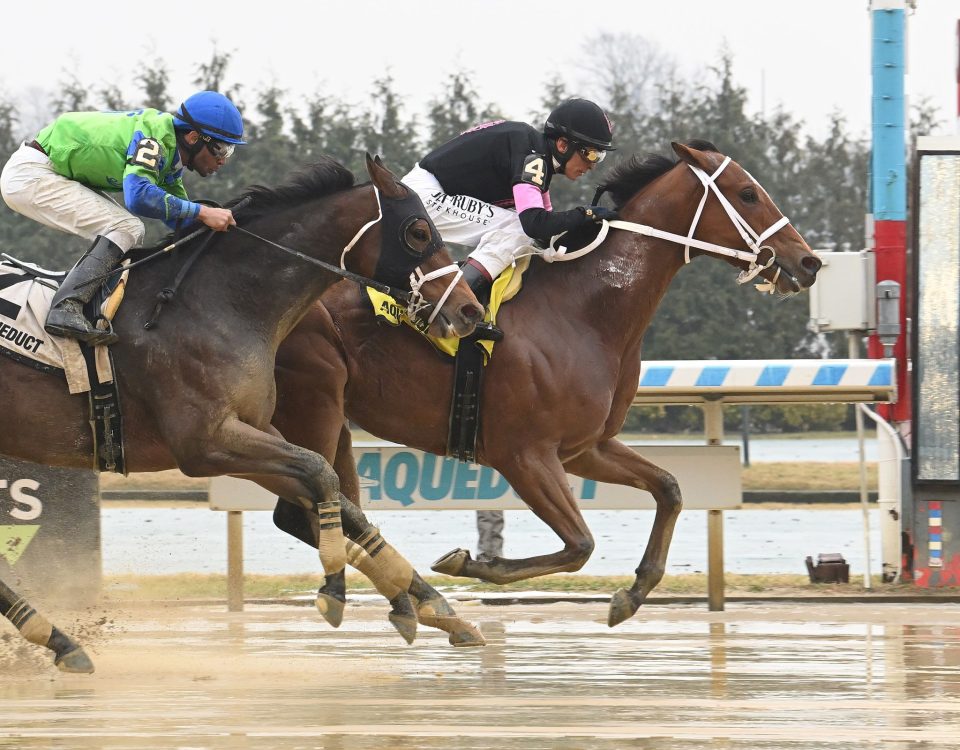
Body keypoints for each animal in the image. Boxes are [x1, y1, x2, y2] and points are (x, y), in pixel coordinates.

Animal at [0, 156, 488, 672]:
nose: (469, 310)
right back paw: (53, 636)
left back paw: (57, 638)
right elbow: (321, 476)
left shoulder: (251, 430)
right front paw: (336, 590)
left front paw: (429, 604)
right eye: (418, 232)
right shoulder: (205, 443)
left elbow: (331, 495)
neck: (214, 304)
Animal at [266, 141, 820, 628]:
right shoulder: (524, 454)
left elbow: (669, 488)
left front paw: (633, 592)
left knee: (327, 511)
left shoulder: (583, 448)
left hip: (332, 419)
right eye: (748, 193)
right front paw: (469, 563)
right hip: (315, 405)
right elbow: (580, 544)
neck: (585, 309)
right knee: (308, 512)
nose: (809, 262)